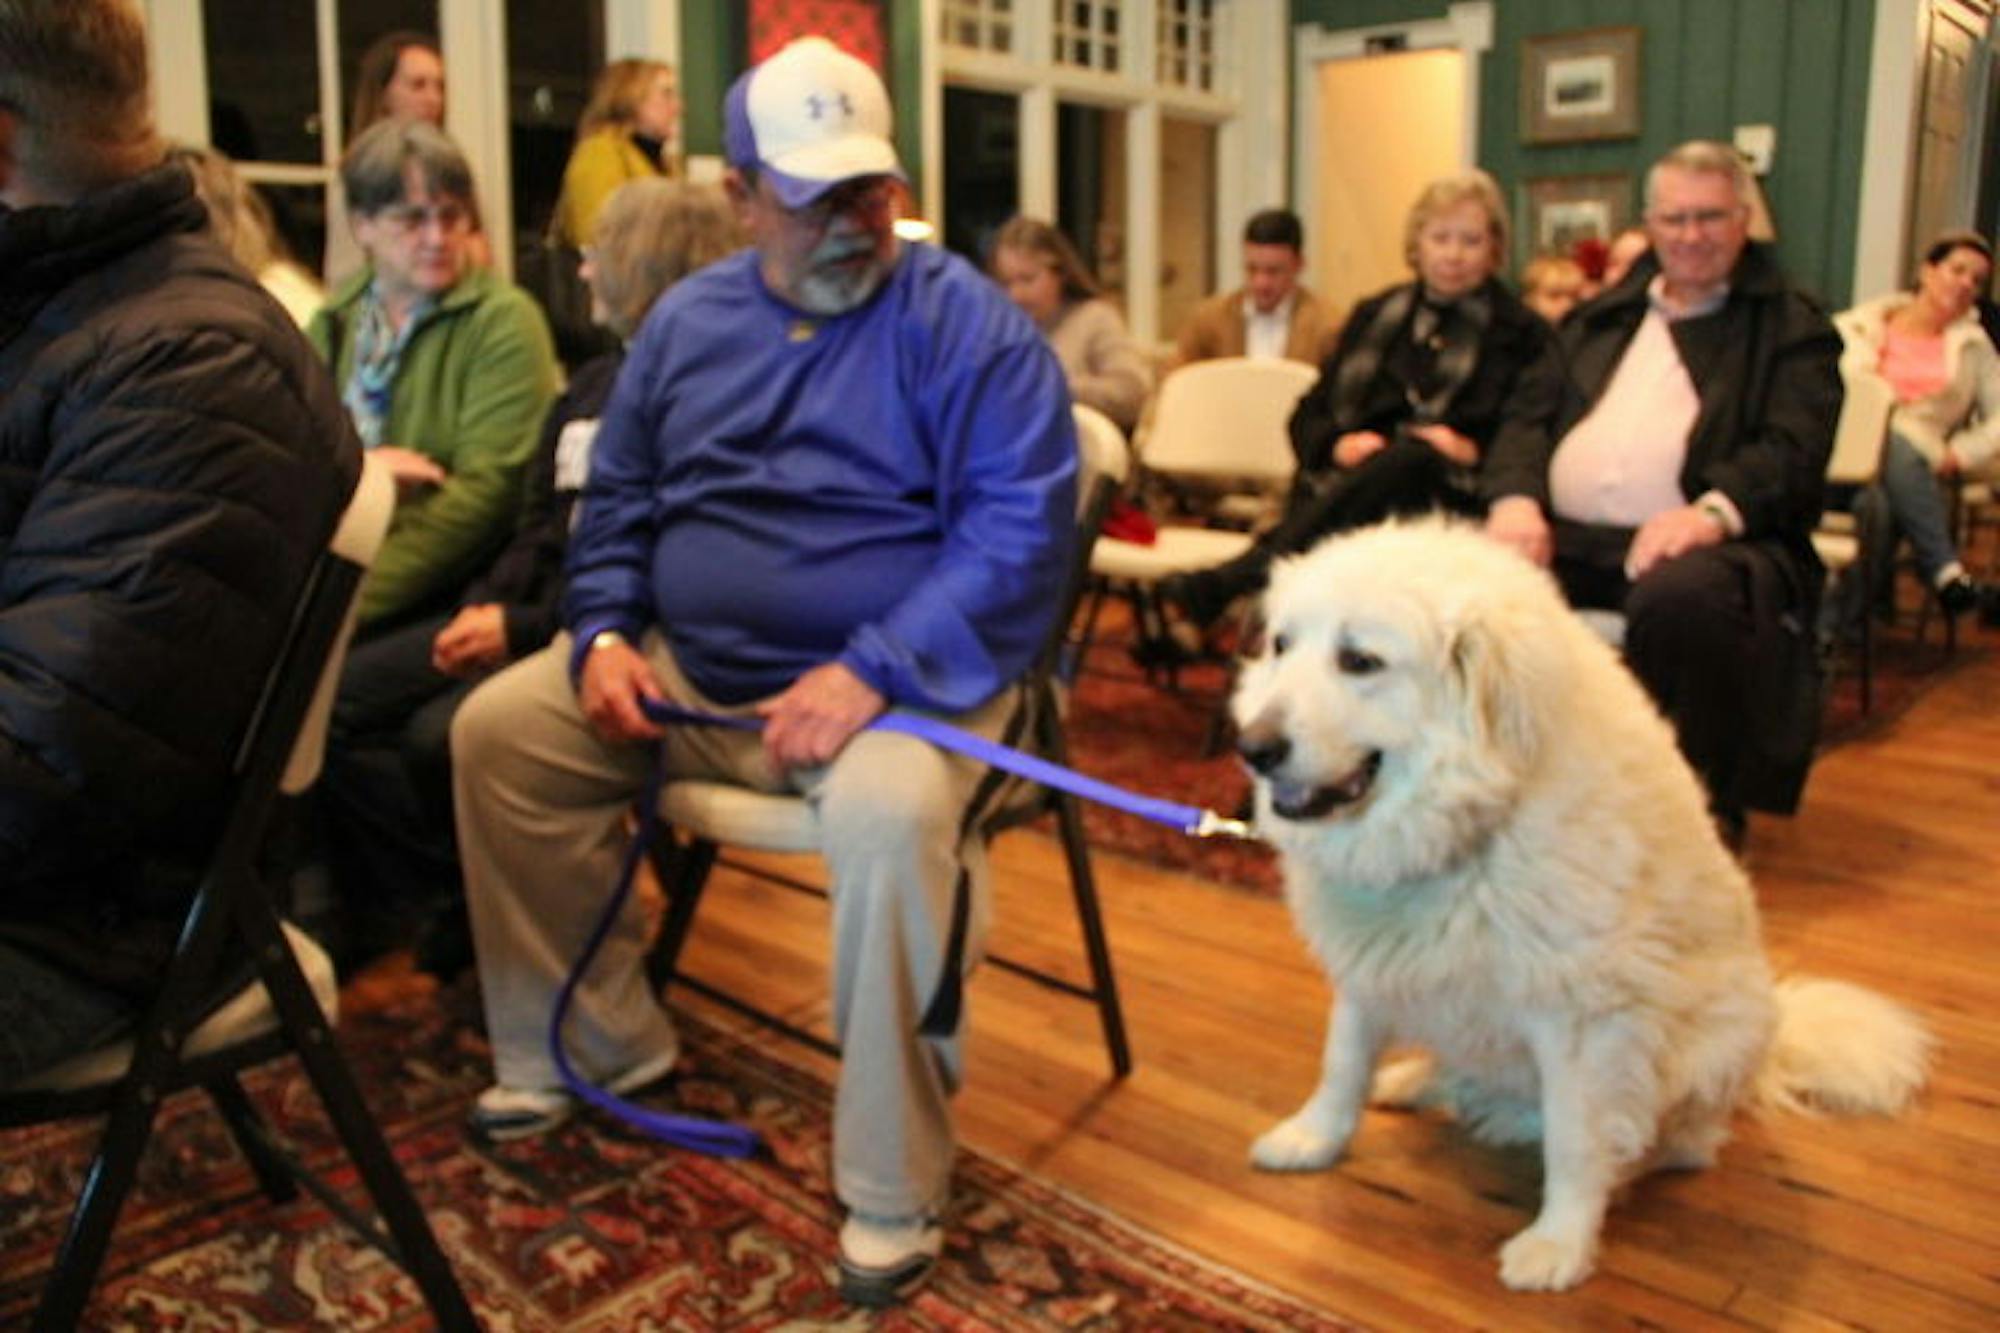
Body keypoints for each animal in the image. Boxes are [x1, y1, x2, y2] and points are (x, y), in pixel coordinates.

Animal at [1240, 520, 1928, 1288]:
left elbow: (1576, 1139)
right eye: (1280, 645)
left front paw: (1560, 1244)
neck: (1473, 825)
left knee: (1683, 1140)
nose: (1251, 748)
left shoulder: (1582, 1017)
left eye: (1360, 660)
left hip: (1714, 1043)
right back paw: (1418, 1078)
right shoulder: (1369, 969)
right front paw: (1313, 1138)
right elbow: (1342, 1065)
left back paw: (1635, 1160)